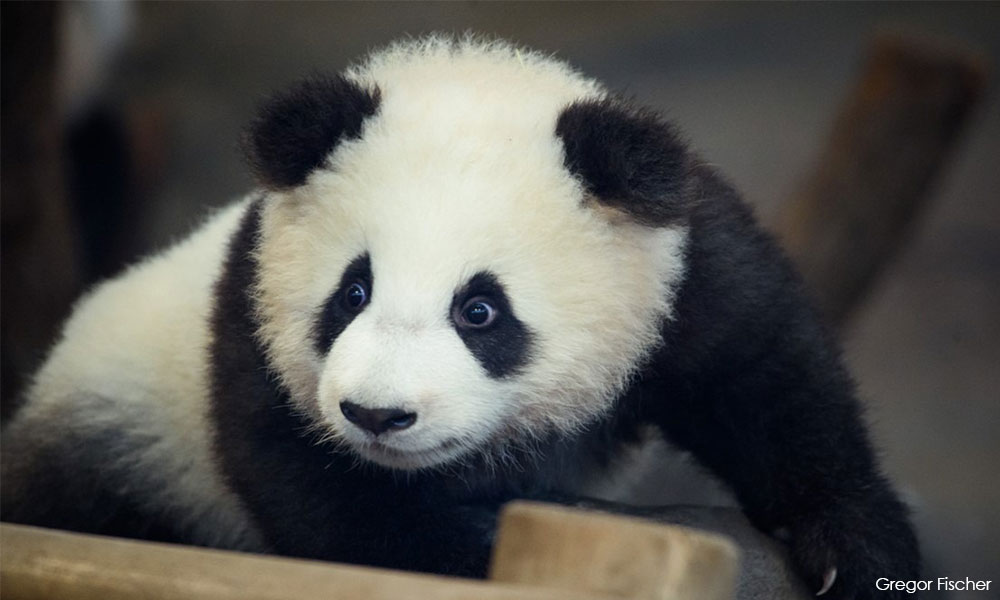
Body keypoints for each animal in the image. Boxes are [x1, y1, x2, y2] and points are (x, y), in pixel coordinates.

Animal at [2, 36, 918, 598]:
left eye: (480, 311)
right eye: (352, 294)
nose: (378, 414)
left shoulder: (681, 272)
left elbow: (768, 381)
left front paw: (853, 553)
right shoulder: (250, 318)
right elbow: (329, 497)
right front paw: (493, 543)